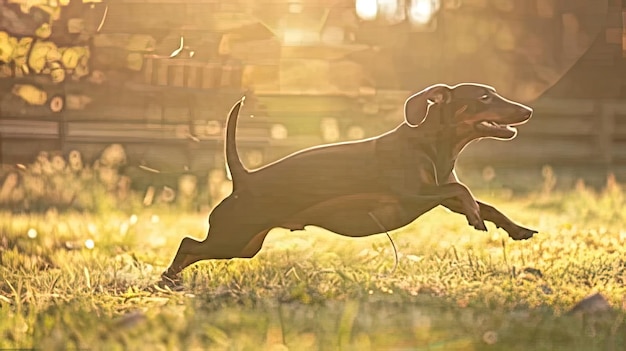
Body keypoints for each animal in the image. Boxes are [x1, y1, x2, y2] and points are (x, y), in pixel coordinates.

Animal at [160, 83, 532, 286]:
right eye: (484, 98)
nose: (527, 110)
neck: (433, 146)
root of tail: (244, 180)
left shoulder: (438, 197)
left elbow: (484, 202)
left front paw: (517, 229)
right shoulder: (412, 195)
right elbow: (462, 191)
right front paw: (475, 218)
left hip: (244, 245)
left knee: (194, 248)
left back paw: (171, 279)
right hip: (233, 238)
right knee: (188, 243)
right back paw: (168, 278)